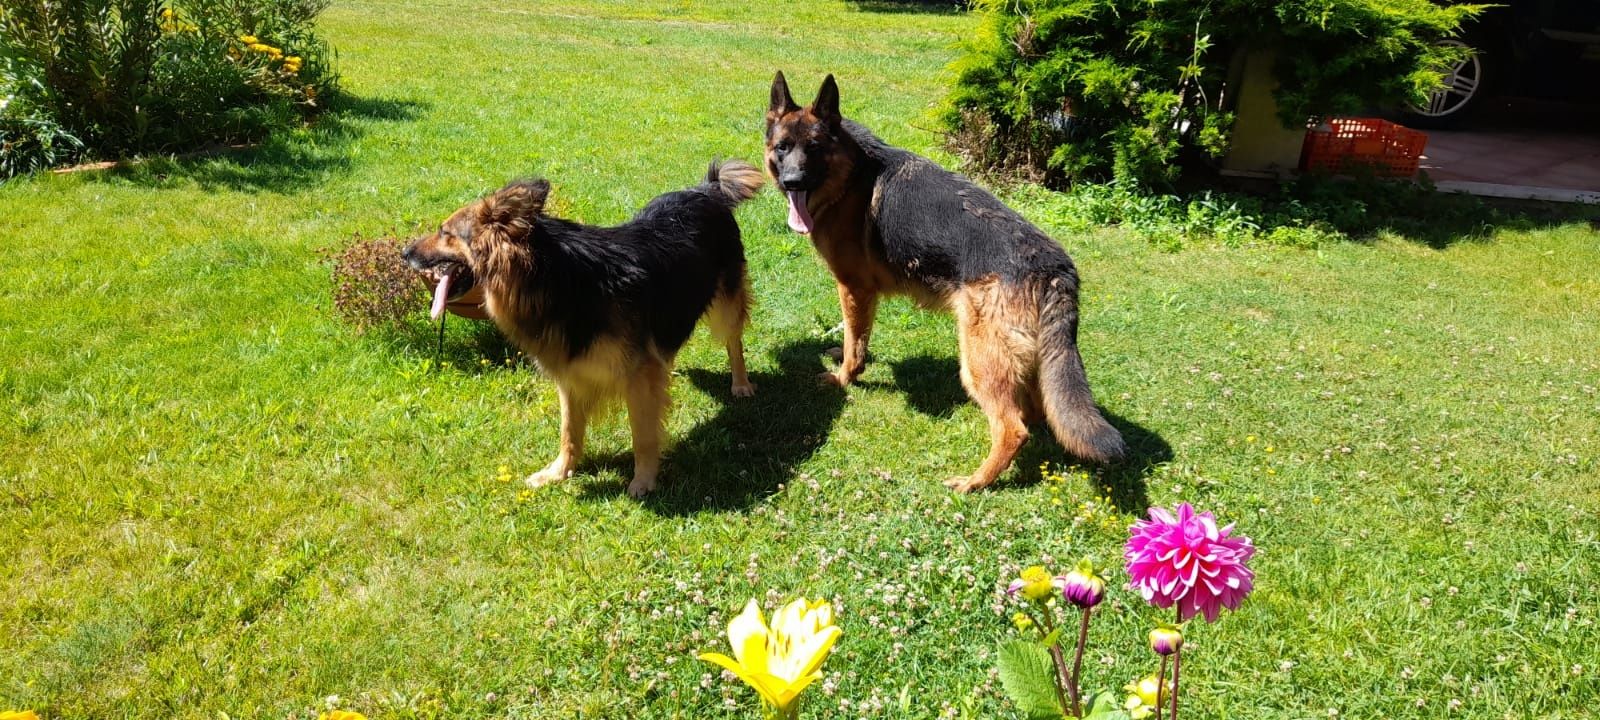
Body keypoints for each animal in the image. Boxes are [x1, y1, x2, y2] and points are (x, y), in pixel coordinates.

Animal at [409, 160, 764, 499]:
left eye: (444, 232)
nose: (404, 253)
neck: (553, 279)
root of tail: (706, 189)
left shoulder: (637, 377)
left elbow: (643, 434)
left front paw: (643, 480)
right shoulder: (572, 376)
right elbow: (569, 431)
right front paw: (559, 472)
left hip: (726, 305)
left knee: (734, 342)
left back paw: (741, 383)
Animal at [764, 71, 1126, 489]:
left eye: (814, 148)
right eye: (783, 147)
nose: (792, 181)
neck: (849, 174)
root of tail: (1057, 268)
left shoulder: (854, 288)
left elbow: (855, 342)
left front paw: (844, 377)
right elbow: (858, 339)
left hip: (978, 361)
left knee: (1013, 427)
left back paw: (976, 482)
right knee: (1035, 411)